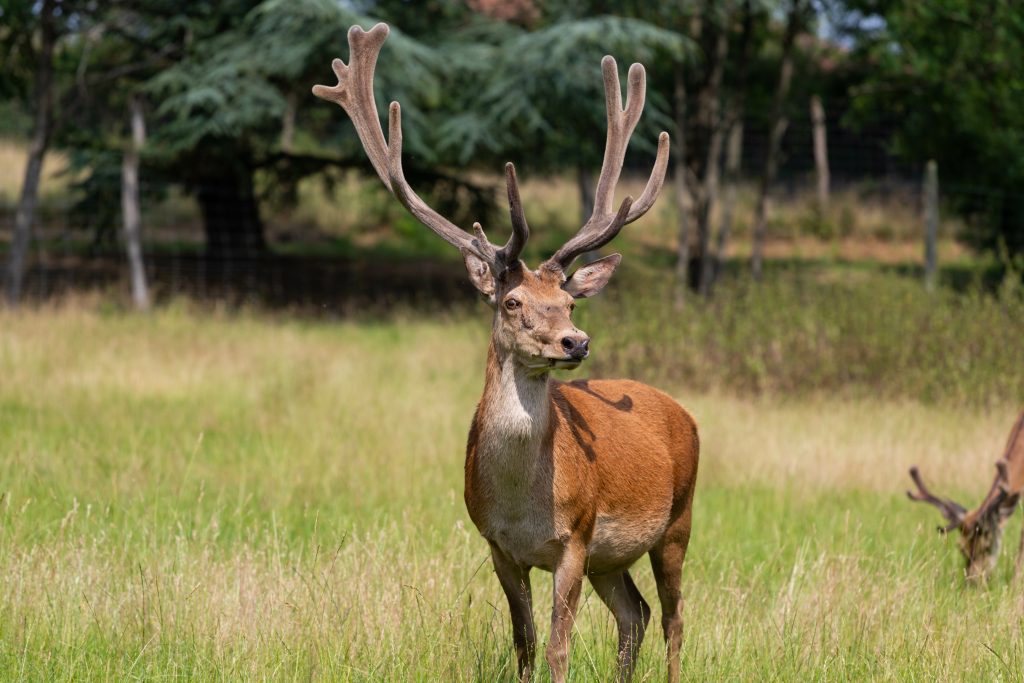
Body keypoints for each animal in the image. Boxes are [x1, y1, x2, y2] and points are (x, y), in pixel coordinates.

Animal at [311, 24, 696, 683]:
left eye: (569, 303)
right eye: (513, 302)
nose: (575, 342)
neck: (522, 504)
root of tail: (684, 413)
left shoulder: (576, 537)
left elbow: (559, 647)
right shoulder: (496, 545)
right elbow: (525, 642)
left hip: (677, 519)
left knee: (672, 618)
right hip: (613, 558)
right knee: (636, 614)